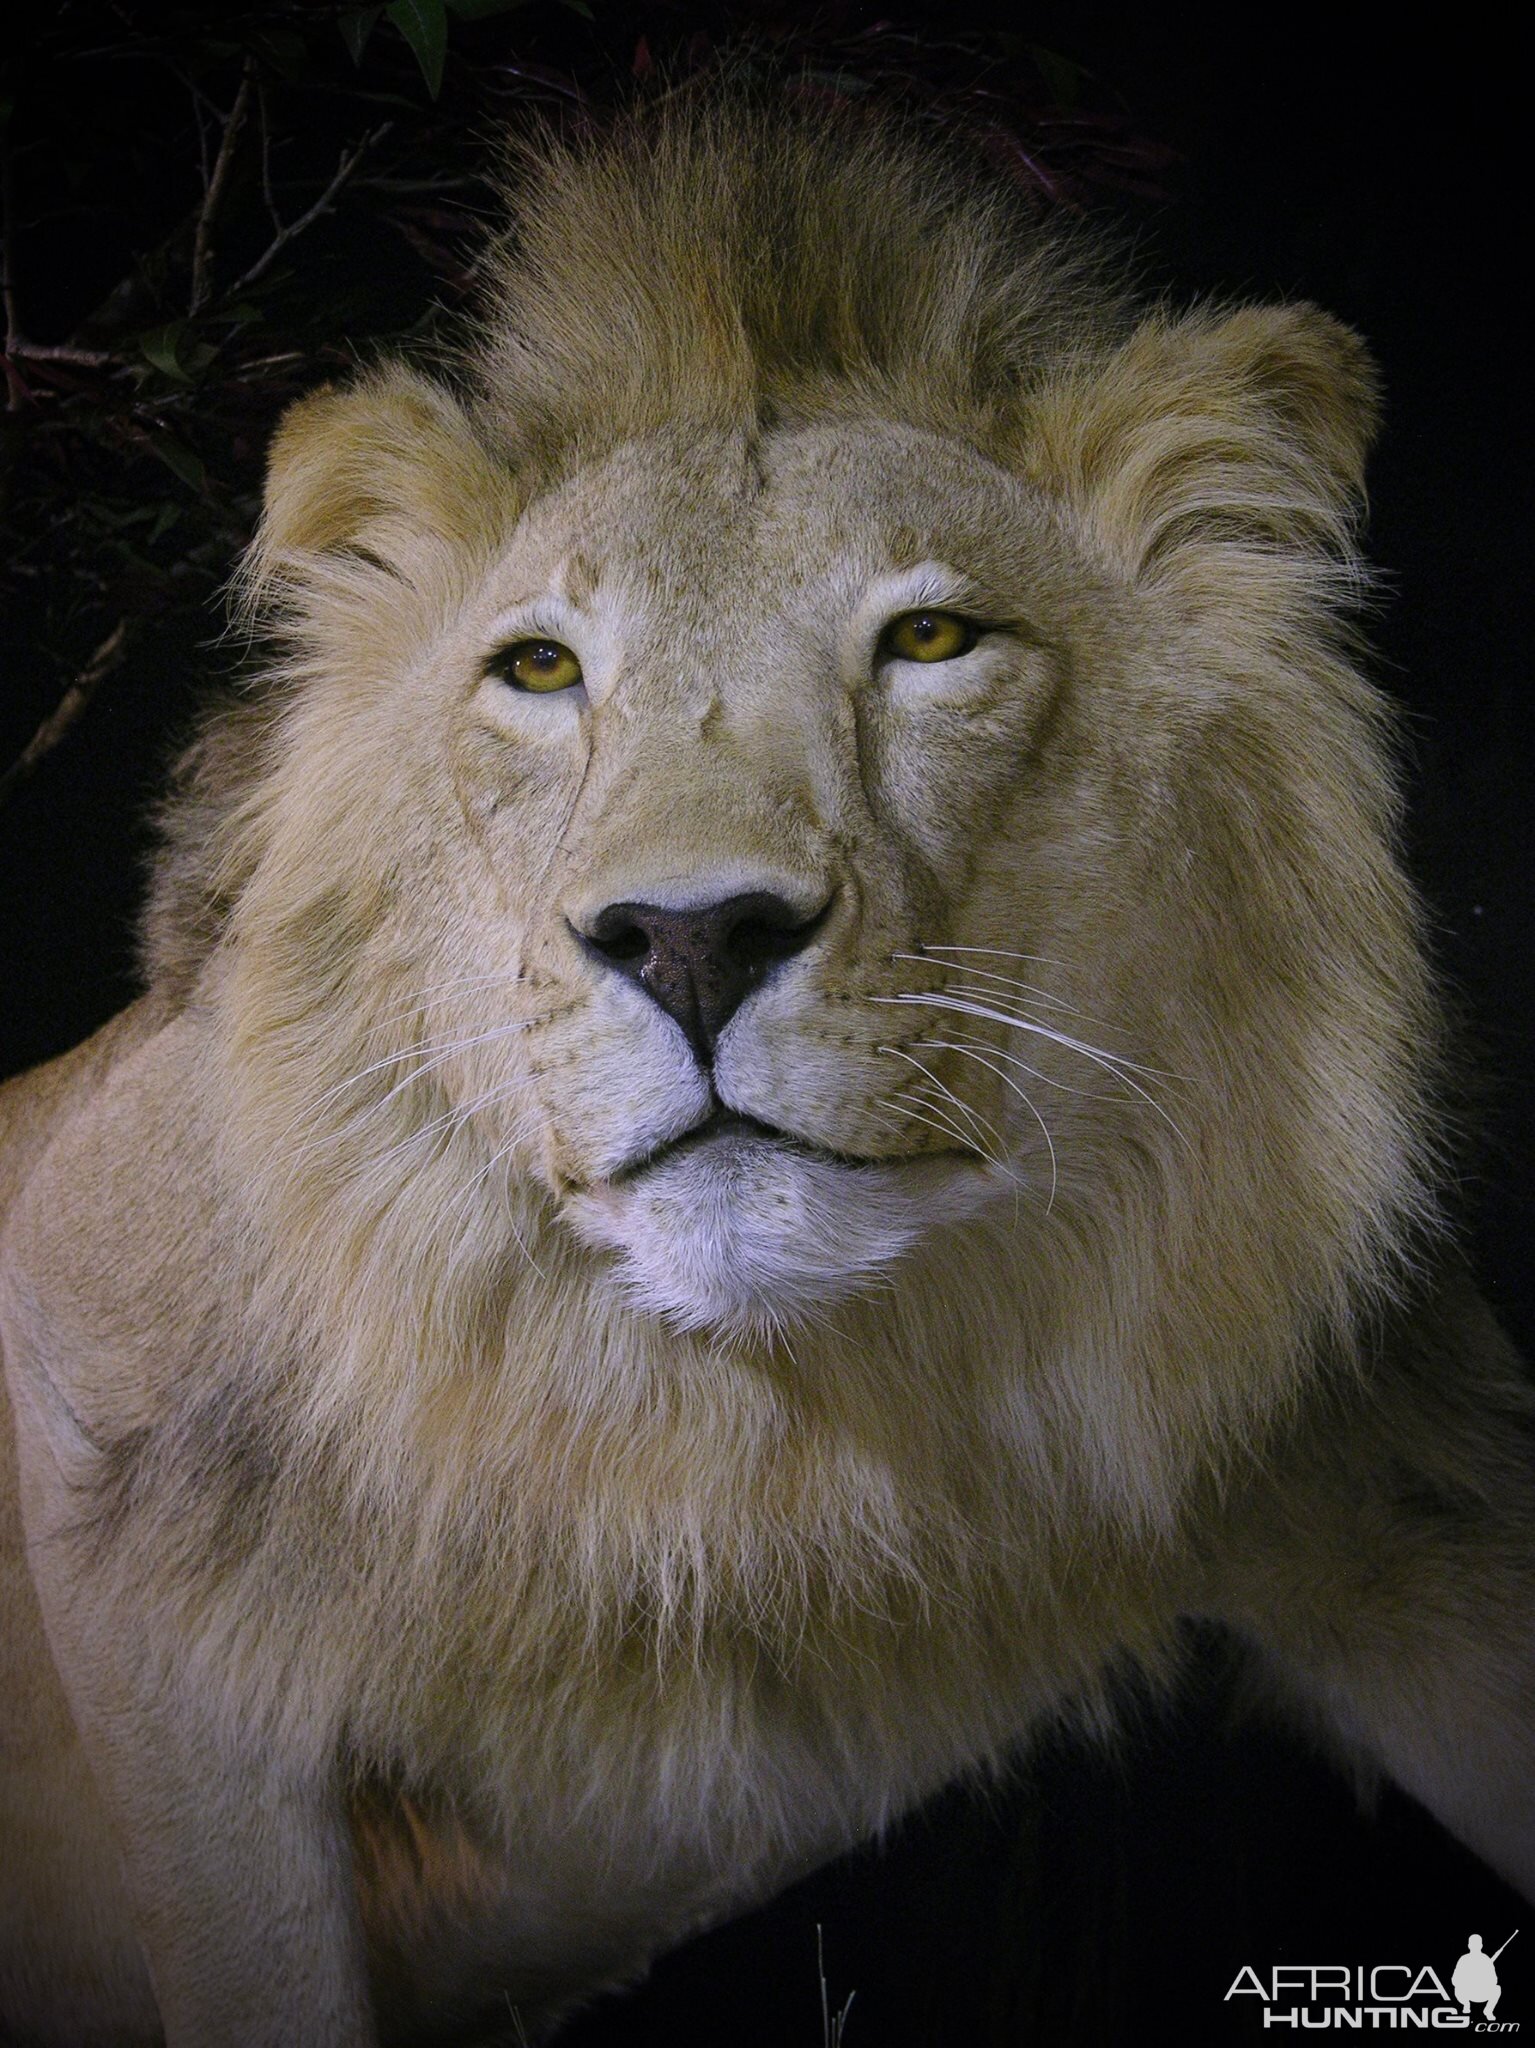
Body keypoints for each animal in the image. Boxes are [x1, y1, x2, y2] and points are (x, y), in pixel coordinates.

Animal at [3, 96, 1535, 2048]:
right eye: (538, 669)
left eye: (932, 640)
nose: (687, 936)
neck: (775, 1432)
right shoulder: (96, 1397)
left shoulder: (1407, 1471)